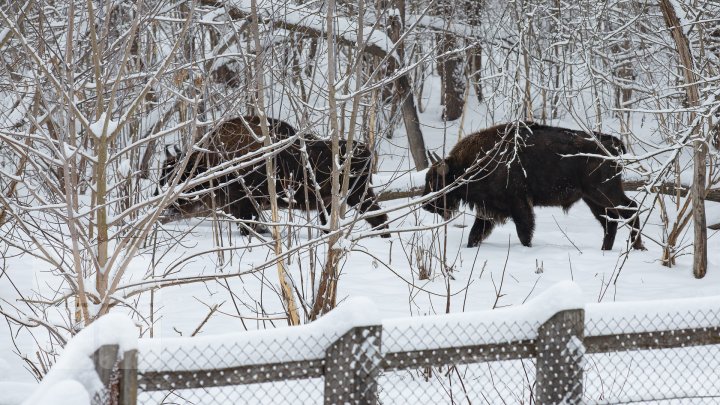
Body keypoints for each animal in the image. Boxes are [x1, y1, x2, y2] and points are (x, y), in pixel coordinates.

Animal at [420, 120, 644, 249]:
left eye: (436, 181)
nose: (425, 205)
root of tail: (615, 143)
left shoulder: (518, 204)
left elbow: (524, 230)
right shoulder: (487, 210)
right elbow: (474, 234)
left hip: (604, 192)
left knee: (630, 209)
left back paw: (637, 247)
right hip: (591, 199)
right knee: (610, 222)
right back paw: (606, 250)